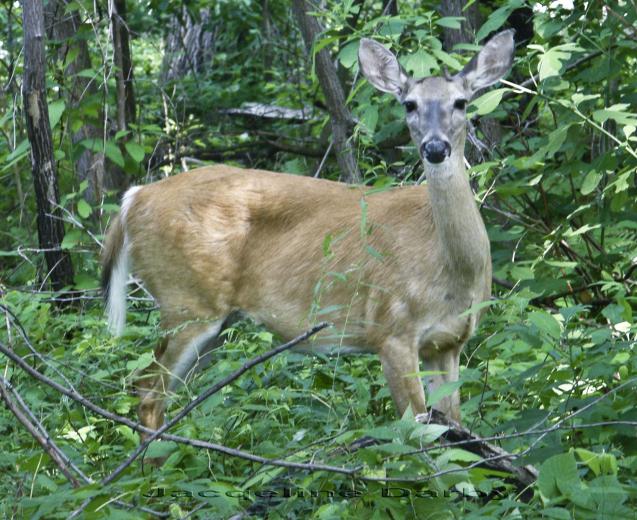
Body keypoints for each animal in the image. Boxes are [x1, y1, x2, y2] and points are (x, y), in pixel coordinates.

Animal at [102, 30, 516, 440]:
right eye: (409, 104)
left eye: (460, 102)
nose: (434, 147)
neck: (450, 268)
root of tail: (133, 199)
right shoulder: (391, 331)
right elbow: (416, 435)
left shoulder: (448, 343)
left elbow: (455, 430)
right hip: (186, 301)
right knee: (146, 389)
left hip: (212, 321)